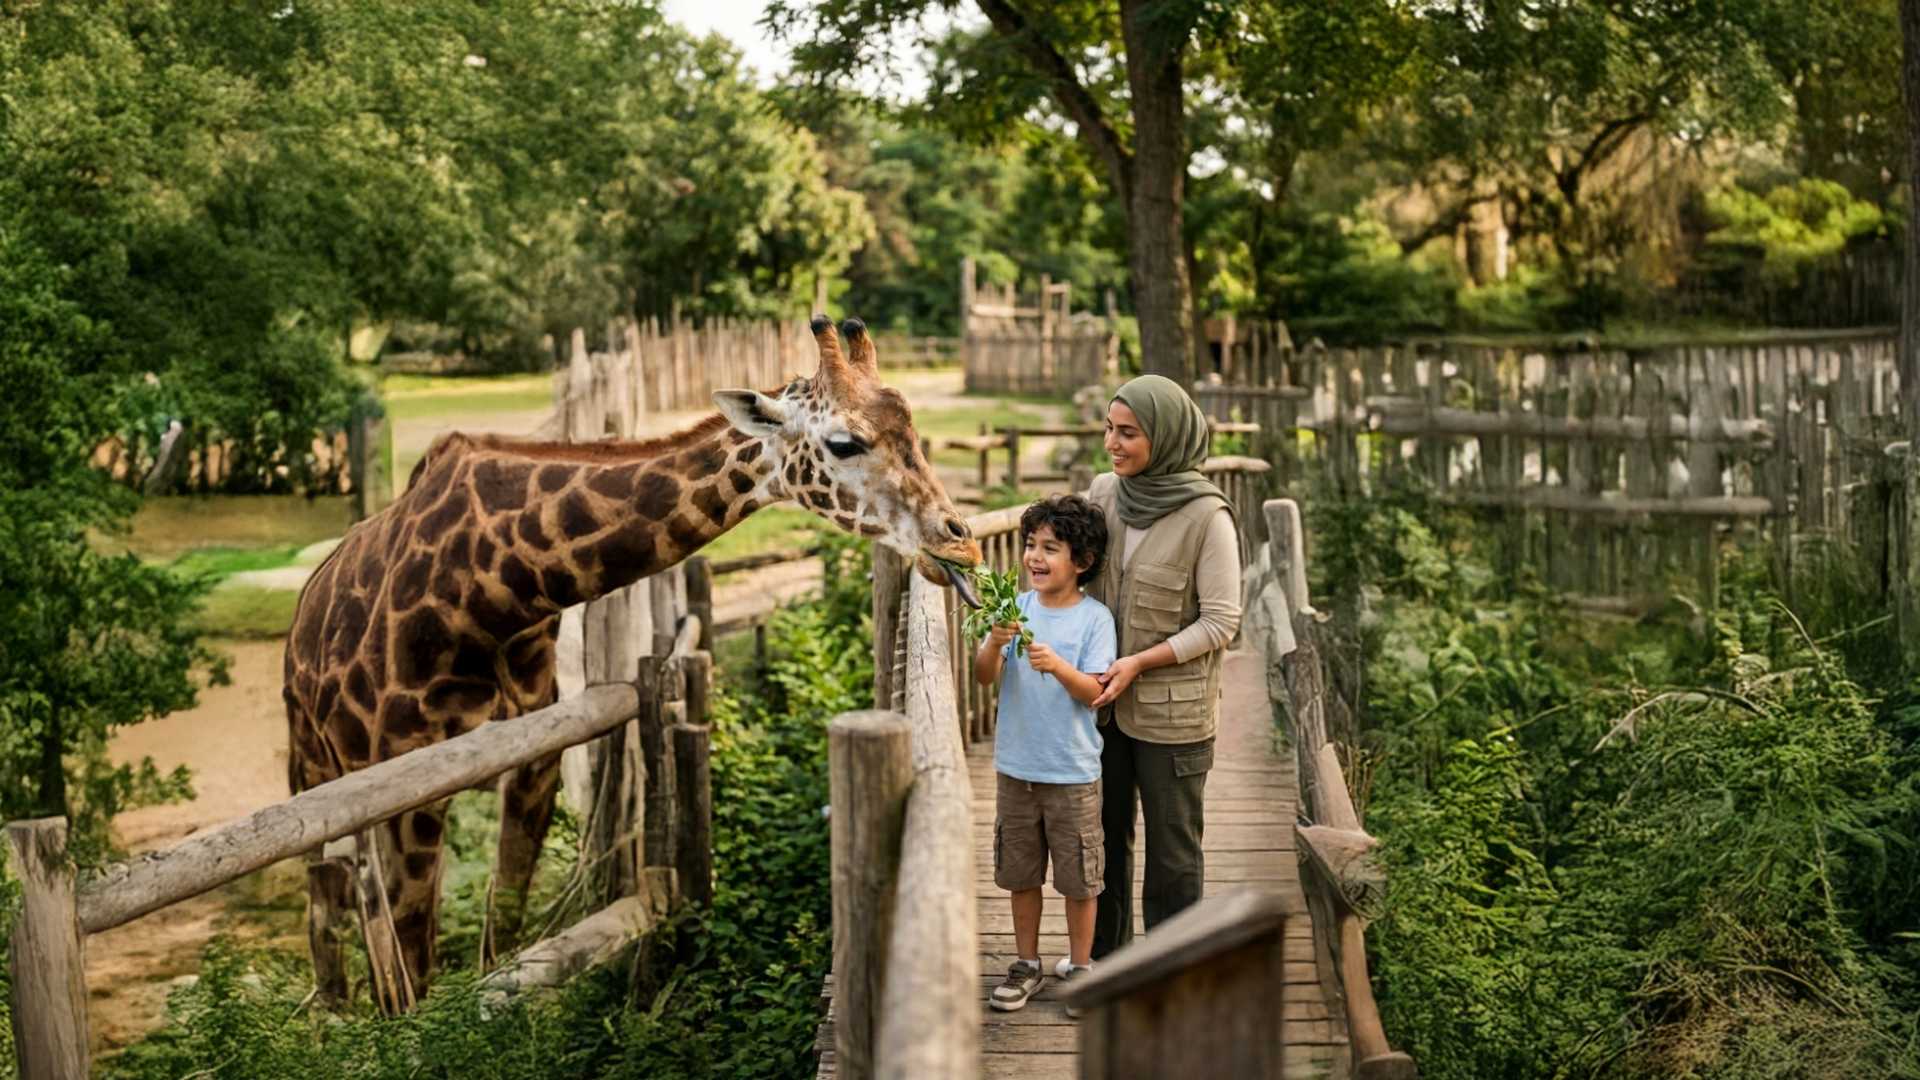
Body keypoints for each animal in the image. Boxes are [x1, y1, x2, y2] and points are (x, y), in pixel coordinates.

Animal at [283, 316, 982, 1009]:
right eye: (843, 443)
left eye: (911, 428)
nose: (960, 543)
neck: (495, 589)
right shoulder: (406, 788)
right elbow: (414, 970)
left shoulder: (534, 758)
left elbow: (501, 932)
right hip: (317, 768)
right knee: (328, 908)